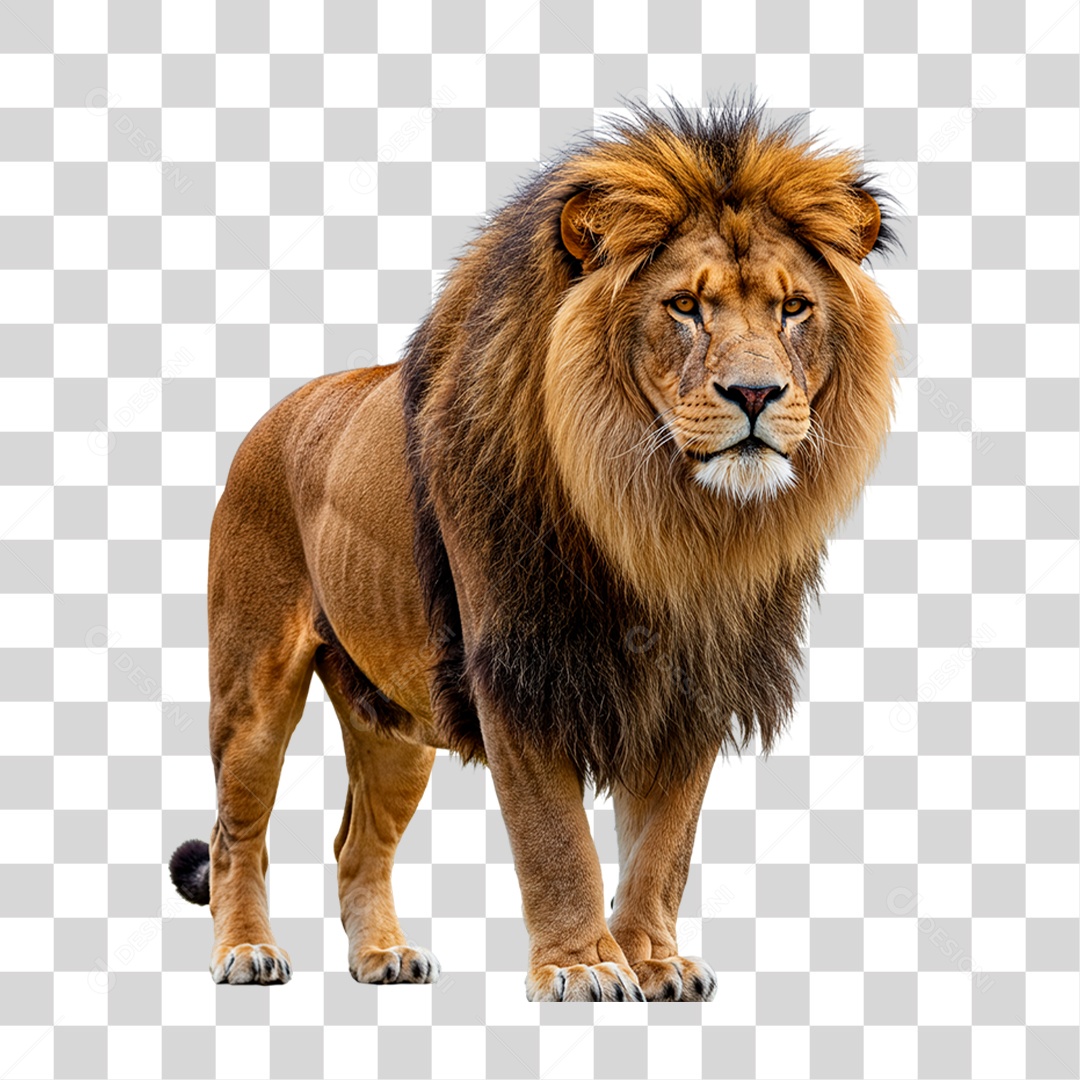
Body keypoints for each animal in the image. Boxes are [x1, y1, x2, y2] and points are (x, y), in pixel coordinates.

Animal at [169, 99, 898, 1002]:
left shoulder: (693, 681)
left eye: (794, 308)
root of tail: (273, 416)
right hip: (253, 686)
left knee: (356, 843)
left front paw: (653, 958)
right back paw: (245, 952)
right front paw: (583, 965)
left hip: (394, 722)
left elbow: (664, 845)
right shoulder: (517, 668)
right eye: (685, 307)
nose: (757, 393)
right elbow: (556, 840)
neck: (666, 524)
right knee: (236, 833)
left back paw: (384, 956)